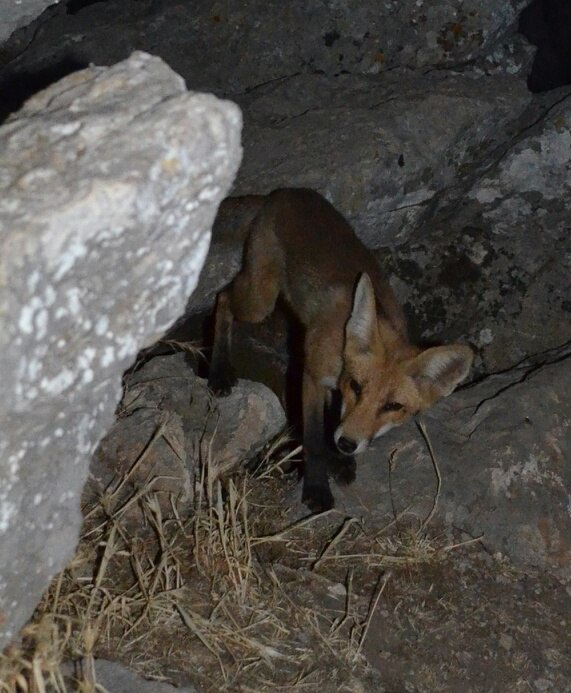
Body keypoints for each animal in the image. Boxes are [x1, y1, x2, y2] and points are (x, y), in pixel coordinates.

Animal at [207, 187, 474, 510]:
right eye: (356, 387)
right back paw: (219, 371)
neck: (341, 350)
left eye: (393, 407)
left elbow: (332, 421)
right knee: (222, 299)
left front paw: (340, 461)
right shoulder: (311, 376)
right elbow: (313, 438)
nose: (347, 444)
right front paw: (317, 487)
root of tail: (283, 192)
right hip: (260, 300)